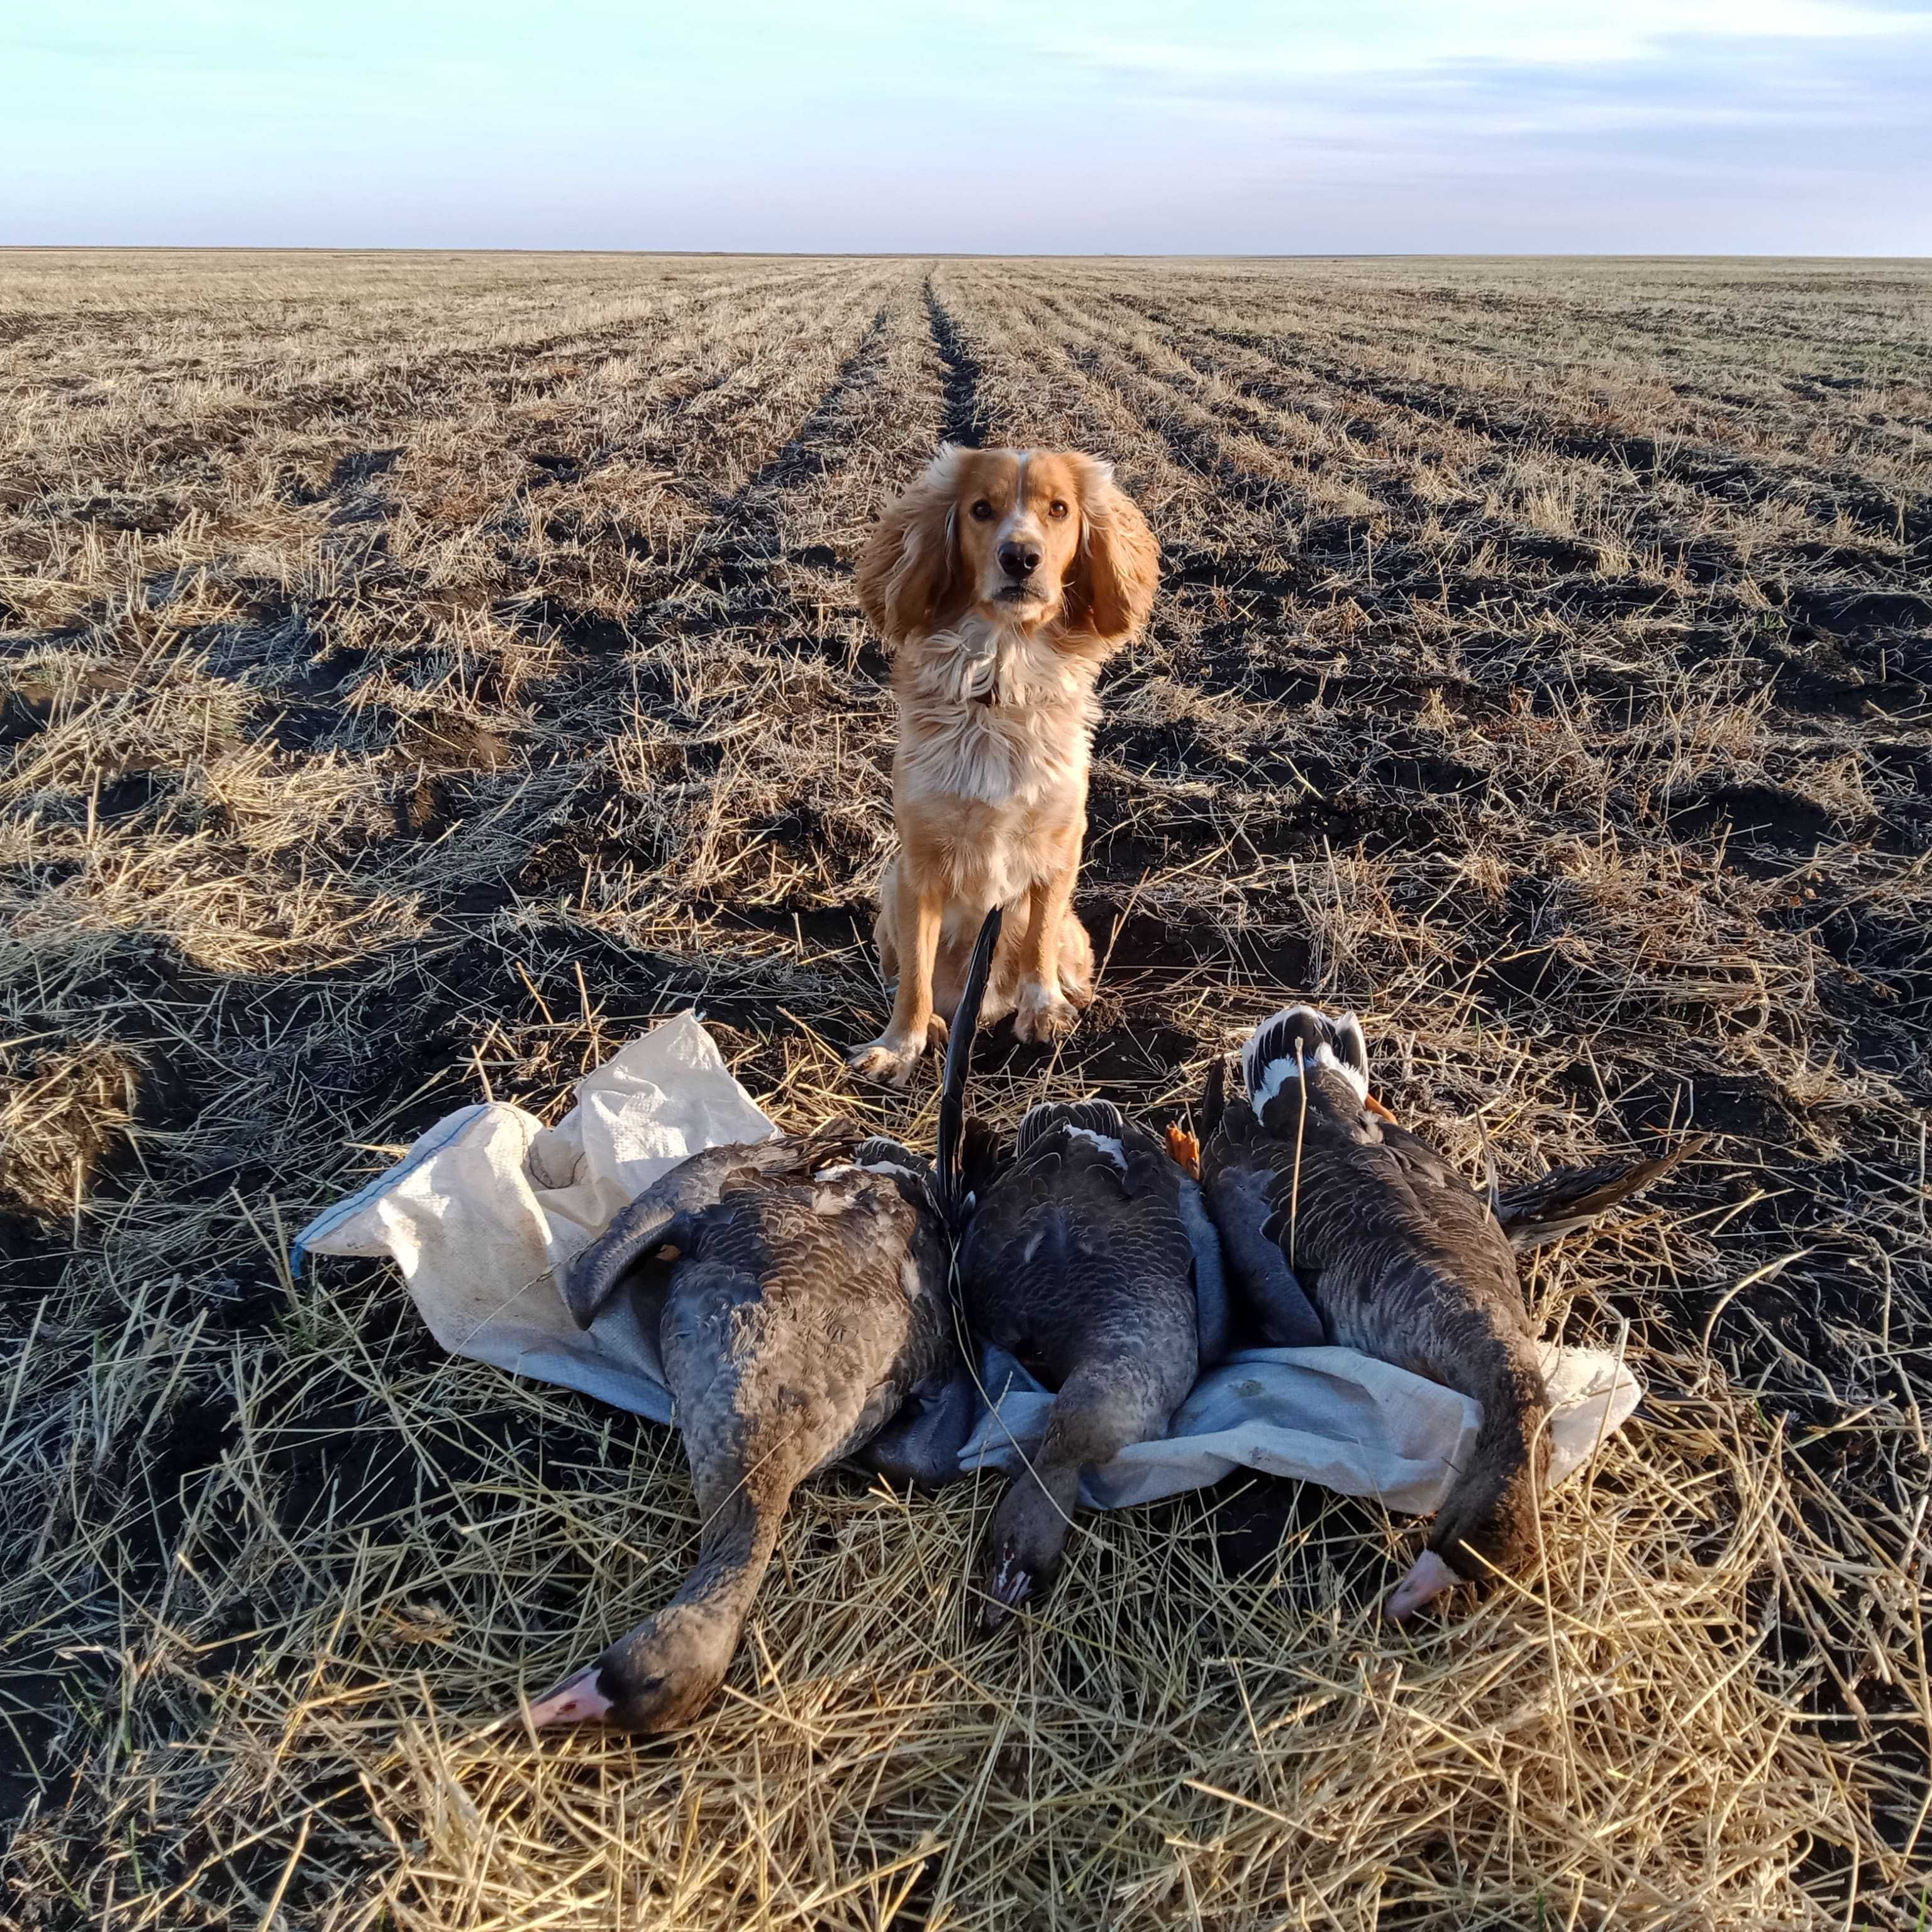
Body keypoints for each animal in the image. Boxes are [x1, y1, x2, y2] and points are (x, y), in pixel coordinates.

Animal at [850, 442, 1151, 1097]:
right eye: (981, 510)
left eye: (1059, 509)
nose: (1021, 557)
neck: (1002, 678)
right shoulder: (918, 864)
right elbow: (917, 972)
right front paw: (901, 1045)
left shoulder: (1061, 844)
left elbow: (1037, 937)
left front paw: (1044, 1011)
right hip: (888, 891)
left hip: (1075, 930)